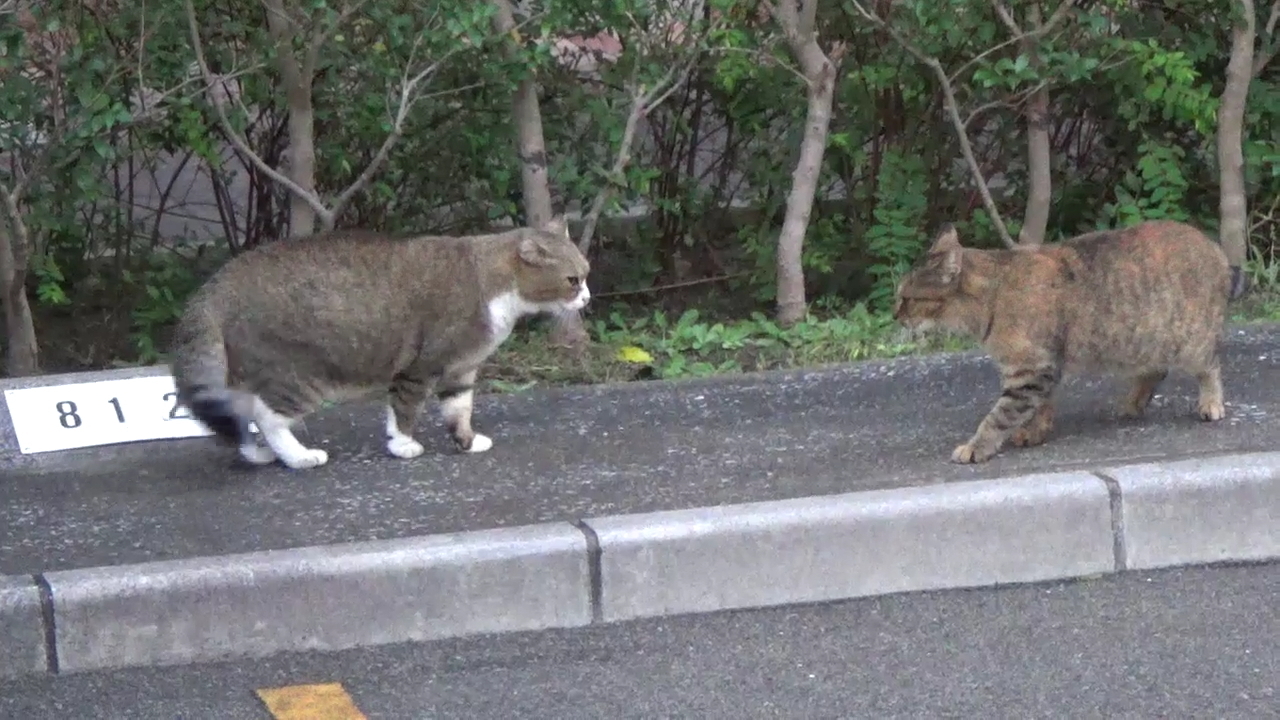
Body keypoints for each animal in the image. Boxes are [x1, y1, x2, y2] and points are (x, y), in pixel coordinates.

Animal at [167, 215, 591, 468]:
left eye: (586, 274)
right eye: (573, 280)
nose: (587, 298)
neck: (491, 282)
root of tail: (217, 285)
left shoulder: (461, 369)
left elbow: (459, 410)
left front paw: (466, 442)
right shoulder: (421, 366)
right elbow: (405, 408)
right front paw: (403, 446)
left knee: (237, 414)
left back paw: (257, 452)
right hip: (298, 374)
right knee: (266, 415)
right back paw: (300, 457)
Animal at [896, 219, 1244, 461]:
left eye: (907, 299)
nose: (895, 314)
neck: (991, 298)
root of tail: (1216, 249)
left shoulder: (1030, 369)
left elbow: (999, 416)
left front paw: (976, 447)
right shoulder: (1040, 369)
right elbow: (1039, 406)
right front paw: (1035, 431)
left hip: (1191, 341)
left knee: (1211, 366)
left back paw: (1210, 402)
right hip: (1141, 343)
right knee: (1156, 370)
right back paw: (1133, 403)